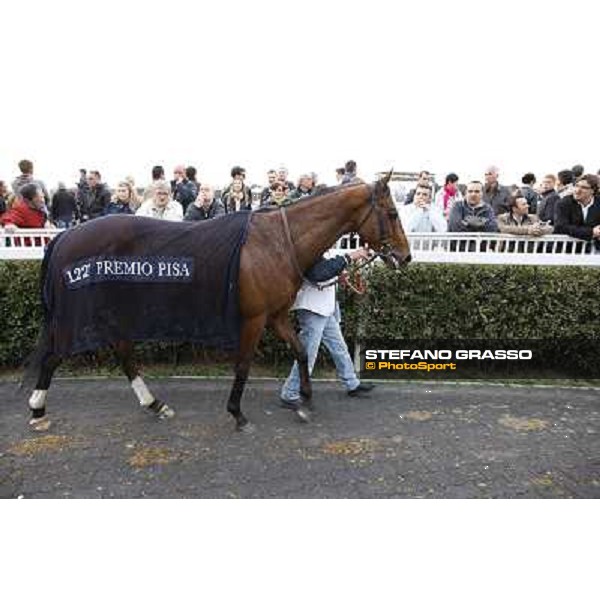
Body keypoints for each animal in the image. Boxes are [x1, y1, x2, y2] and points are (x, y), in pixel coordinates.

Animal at [25, 173, 410, 432]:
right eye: (392, 214)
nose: (404, 257)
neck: (276, 241)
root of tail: (65, 237)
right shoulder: (254, 318)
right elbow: (243, 365)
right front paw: (237, 413)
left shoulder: (276, 315)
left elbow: (302, 351)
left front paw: (304, 402)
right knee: (57, 354)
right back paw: (37, 410)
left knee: (122, 351)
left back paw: (155, 404)